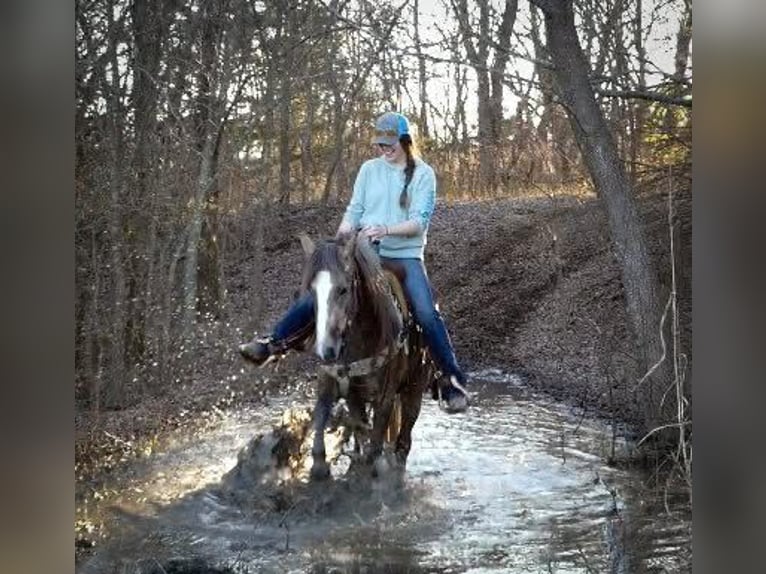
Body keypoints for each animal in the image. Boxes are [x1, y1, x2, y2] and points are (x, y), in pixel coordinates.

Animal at [297, 231, 434, 480]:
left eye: (343, 289)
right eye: (311, 290)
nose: (326, 349)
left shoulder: (385, 397)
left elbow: (375, 443)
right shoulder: (346, 390)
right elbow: (344, 426)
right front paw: (324, 465)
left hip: (414, 389)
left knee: (404, 440)